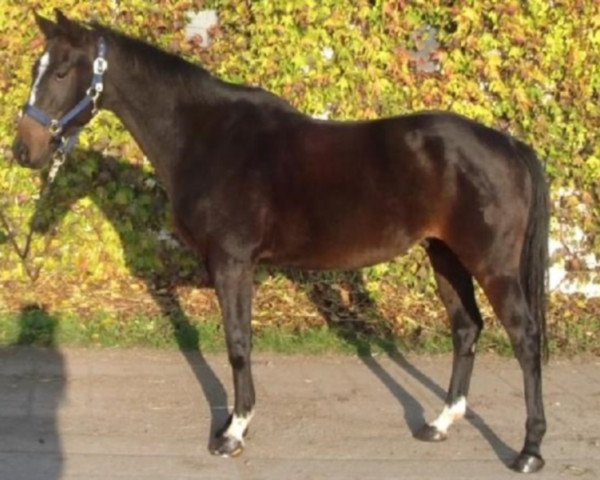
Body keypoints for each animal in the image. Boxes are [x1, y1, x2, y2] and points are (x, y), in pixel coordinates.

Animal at [12, 9, 548, 474]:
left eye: (61, 71)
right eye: (38, 68)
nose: (23, 150)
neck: (206, 136)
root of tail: (509, 145)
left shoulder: (231, 262)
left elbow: (237, 343)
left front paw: (232, 432)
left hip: (492, 265)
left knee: (524, 338)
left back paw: (528, 450)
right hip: (445, 255)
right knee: (466, 328)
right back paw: (439, 423)